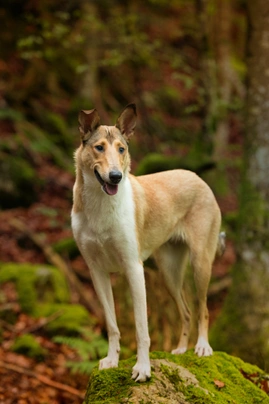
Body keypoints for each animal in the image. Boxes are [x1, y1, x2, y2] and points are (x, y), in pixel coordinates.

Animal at [71, 103, 224, 382]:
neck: (101, 206)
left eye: (121, 149)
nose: (115, 176)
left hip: (201, 263)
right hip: (169, 273)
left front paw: (143, 369)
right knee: (186, 312)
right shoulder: (97, 271)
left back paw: (202, 347)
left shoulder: (133, 268)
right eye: (99, 147)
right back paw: (181, 349)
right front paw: (112, 360)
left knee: (203, 309)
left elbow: (142, 328)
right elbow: (112, 324)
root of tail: (198, 177)